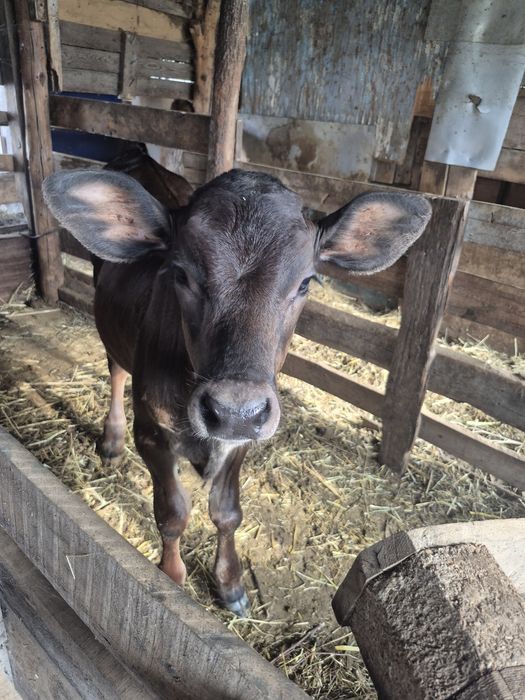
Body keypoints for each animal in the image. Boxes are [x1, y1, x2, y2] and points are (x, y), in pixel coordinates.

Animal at [43, 163, 431, 616]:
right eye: (181, 274)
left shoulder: (244, 438)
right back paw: (111, 441)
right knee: (117, 371)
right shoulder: (152, 433)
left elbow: (227, 513)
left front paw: (229, 583)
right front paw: (172, 576)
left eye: (305, 282)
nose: (234, 411)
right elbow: (172, 514)